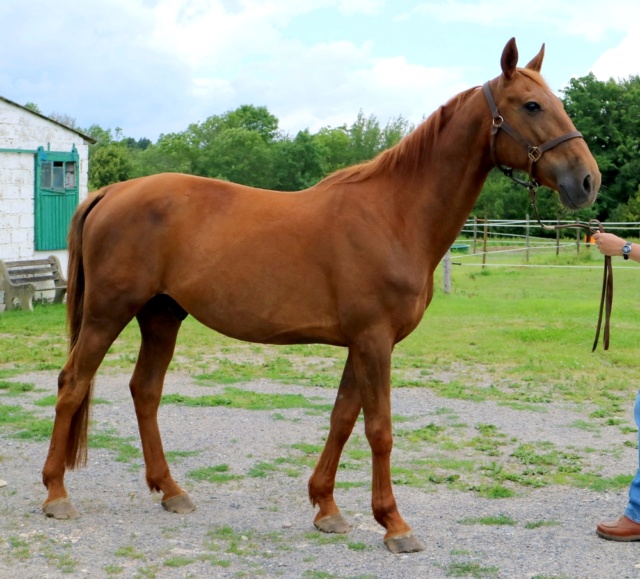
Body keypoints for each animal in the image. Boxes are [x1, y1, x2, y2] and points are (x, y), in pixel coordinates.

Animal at [41, 38, 600, 556]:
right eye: (532, 105)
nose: (587, 181)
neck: (394, 214)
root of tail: (111, 192)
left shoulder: (364, 343)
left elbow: (342, 420)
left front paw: (327, 508)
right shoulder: (373, 341)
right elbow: (379, 429)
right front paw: (394, 524)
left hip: (162, 316)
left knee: (146, 391)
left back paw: (170, 490)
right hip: (108, 313)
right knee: (73, 383)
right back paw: (56, 494)